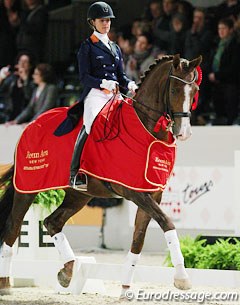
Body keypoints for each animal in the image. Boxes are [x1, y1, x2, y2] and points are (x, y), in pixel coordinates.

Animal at [0, 54, 202, 294]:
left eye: (195, 90)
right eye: (174, 90)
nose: (184, 132)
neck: (146, 128)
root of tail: (32, 123)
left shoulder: (152, 193)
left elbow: (139, 238)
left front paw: (125, 288)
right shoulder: (135, 193)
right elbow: (167, 223)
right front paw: (182, 277)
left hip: (79, 194)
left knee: (52, 222)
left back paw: (67, 271)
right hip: (27, 188)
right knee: (13, 227)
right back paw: (6, 283)